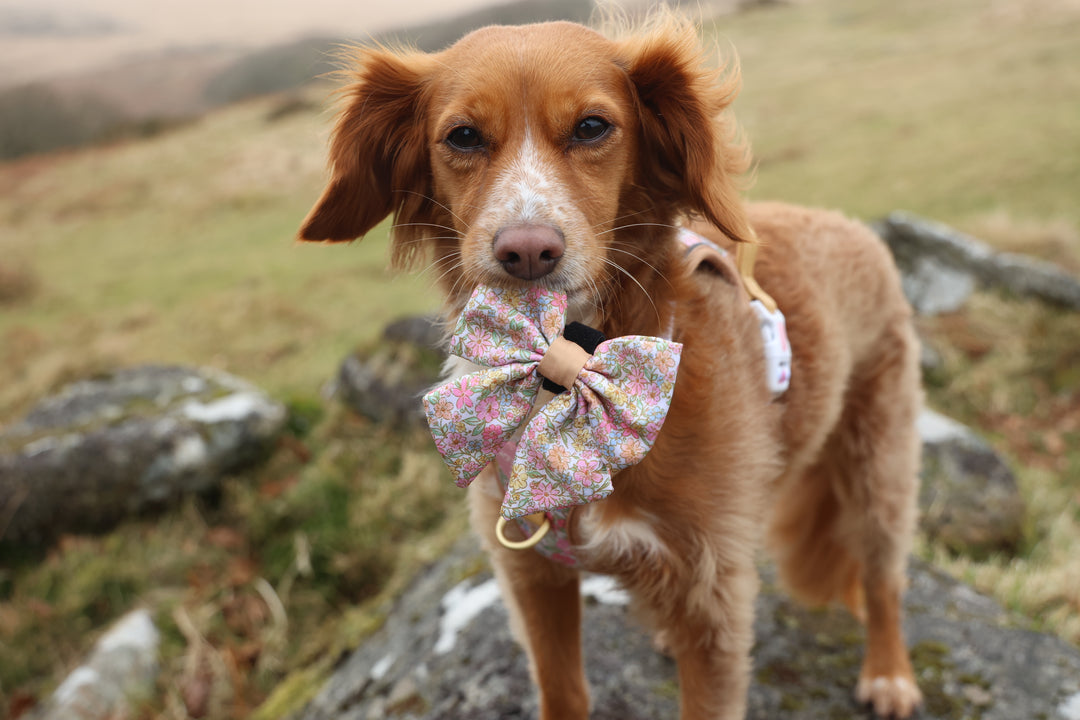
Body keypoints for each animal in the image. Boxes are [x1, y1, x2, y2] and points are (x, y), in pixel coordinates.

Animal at [300, 16, 924, 720]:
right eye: (462, 136)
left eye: (592, 127)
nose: (527, 251)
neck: (568, 370)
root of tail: (850, 226)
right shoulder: (531, 570)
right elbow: (562, 690)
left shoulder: (713, 594)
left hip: (879, 467)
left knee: (883, 576)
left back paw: (889, 672)